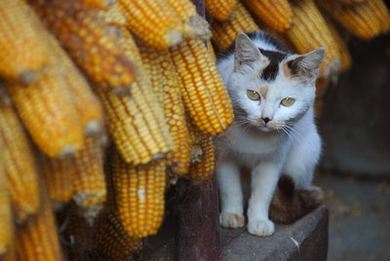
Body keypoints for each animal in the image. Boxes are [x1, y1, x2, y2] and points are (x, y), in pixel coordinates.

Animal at [213, 32, 322, 236]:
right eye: (253, 95)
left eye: (287, 101)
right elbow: (229, 187)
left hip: (305, 157)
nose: (266, 118)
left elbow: (263, 192)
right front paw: (232, 215)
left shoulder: (272, 161)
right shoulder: (223, 155)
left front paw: (259, 222)